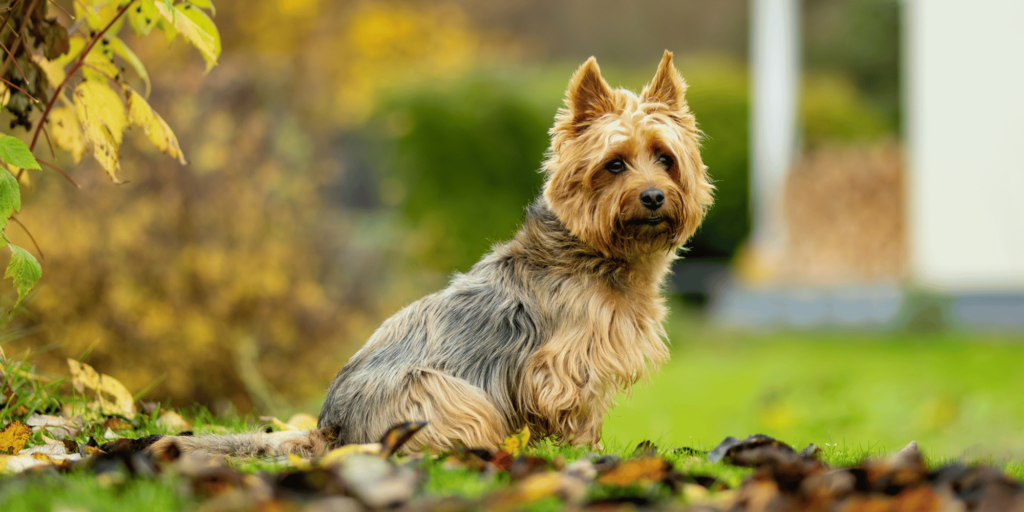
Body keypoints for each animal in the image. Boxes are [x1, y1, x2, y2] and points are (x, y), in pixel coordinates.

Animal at [151, 50, 712, 460]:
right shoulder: (562, 366)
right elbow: (576, 412)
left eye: (665, 158)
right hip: (441, 391)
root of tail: (331, 430)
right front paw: (582, 455)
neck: (595, 250)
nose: (653, 197)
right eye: (614, 165)